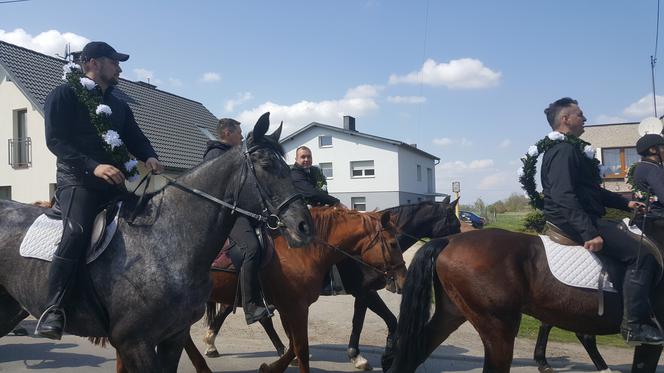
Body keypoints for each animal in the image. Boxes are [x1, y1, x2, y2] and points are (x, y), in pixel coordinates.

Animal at [115, 206, 404, 372]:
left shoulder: (289, 307)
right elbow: (301, 348)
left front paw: (270, 367)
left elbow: (294, 346)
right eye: (392, 243)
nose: (402, 279)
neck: (302, 250)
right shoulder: (296, 307)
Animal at [200, 198, 462, 370]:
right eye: (455, 221)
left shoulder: (362, 293)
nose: (460, 240)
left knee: (241, 314)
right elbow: (383, 320)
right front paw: (371, 356)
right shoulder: (364, 291)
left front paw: (365, 354)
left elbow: (365, 321)